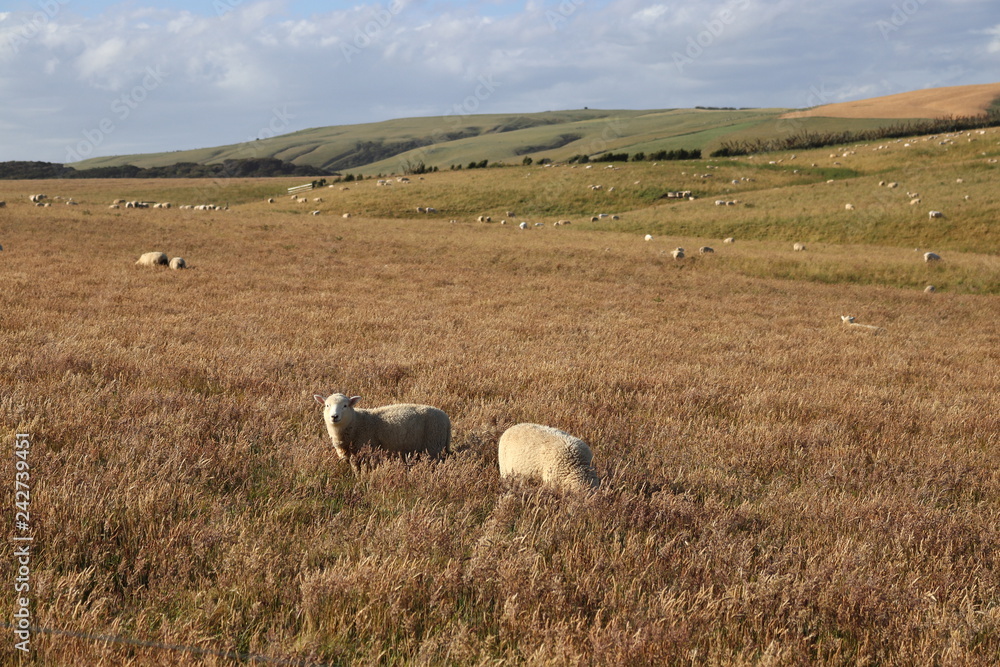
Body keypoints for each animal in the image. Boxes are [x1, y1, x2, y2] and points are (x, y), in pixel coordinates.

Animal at [312, 393, 451, 471]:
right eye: (327, 405)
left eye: (345, 406)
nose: (334, 416)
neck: (356, 422)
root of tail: (446, 417)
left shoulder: (364, 454)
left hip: (433, 446)